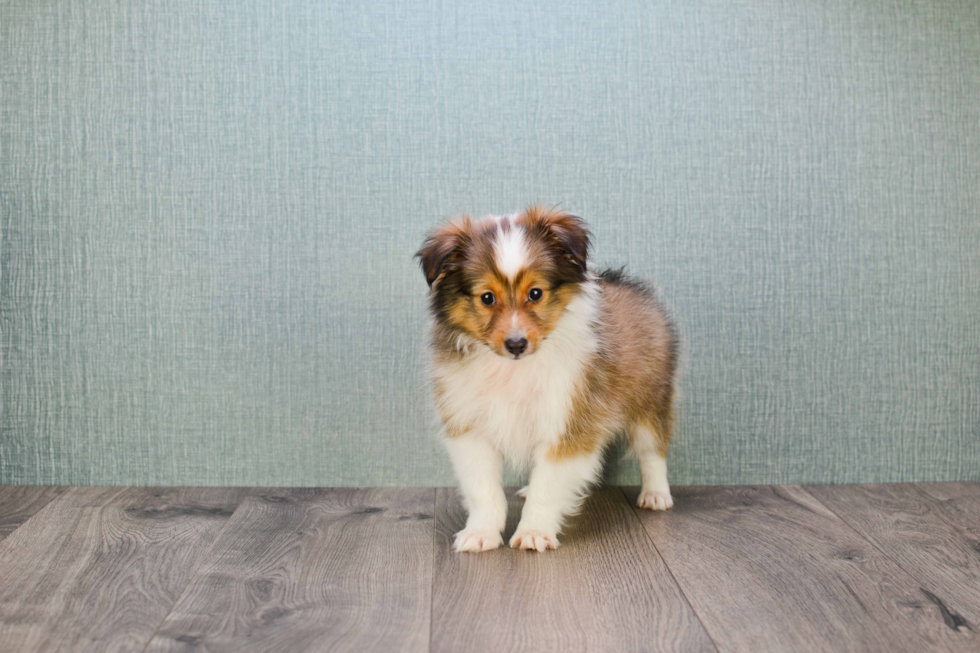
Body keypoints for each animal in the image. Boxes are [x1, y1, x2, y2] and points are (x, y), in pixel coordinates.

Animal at [418, 205, 676, 552]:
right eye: (487, 298)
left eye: (535, 293)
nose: (516, 344)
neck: (514, 370)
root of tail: (631, 285)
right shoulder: (468, 425)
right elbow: (483, 488)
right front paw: (480, 533)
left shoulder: (569, 422)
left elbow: (549, 486)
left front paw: (534, 532)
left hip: (651, 399)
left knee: (652, 451)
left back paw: (656, 494)